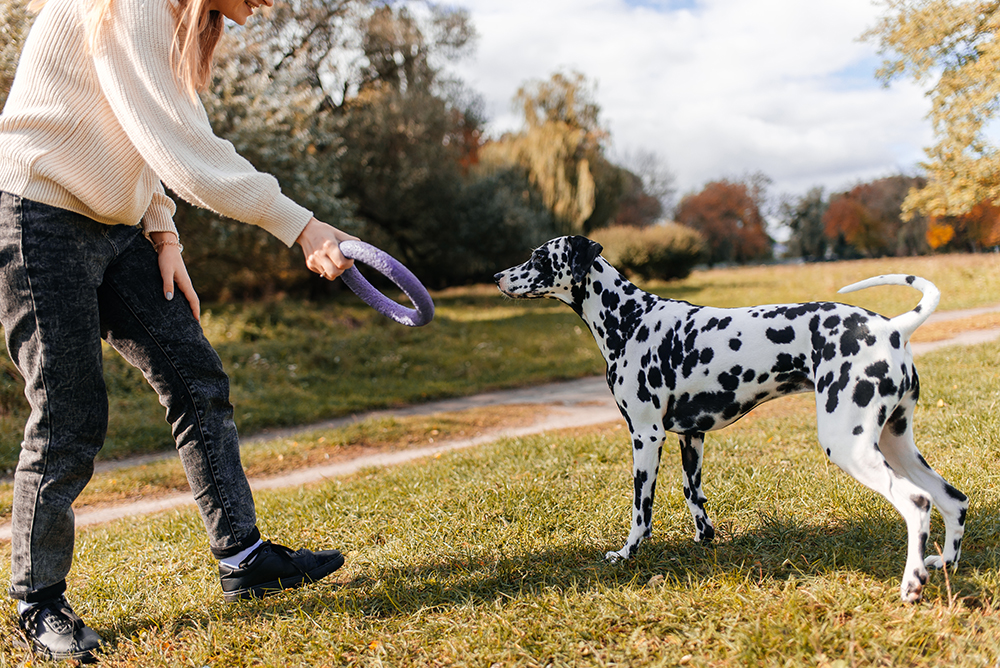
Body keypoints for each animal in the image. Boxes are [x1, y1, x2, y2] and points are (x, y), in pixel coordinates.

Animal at [496, 236, 964, 604]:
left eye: (538, 256)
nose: (499, 276)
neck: (631, 320)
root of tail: (891, 328)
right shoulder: (691, 437)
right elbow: (694, 496)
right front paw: (705, 539)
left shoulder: (645, 436)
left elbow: (641, 511)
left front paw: (627, 555)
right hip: (894, 443)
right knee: (953, 500)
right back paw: (945, 564)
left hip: (850, 445)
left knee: (917, 503)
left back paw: (913, 583)